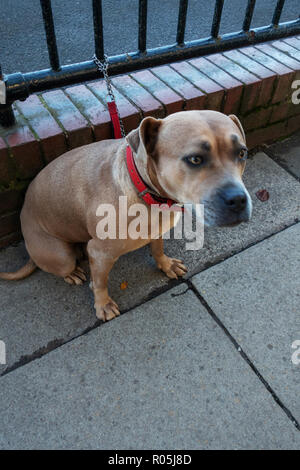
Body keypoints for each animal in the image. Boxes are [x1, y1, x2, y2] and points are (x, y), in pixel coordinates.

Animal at [0, 112, 251, 322]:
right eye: (195, 159)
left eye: (242, 153)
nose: (239, 200)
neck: (148, 193)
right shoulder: (100, 253)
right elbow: (100, 282)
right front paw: (102, 305)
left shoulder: (157, 230)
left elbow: (157, 249)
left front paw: (165, 264)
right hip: (61, 256)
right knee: (63, 265)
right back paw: (72, 273)